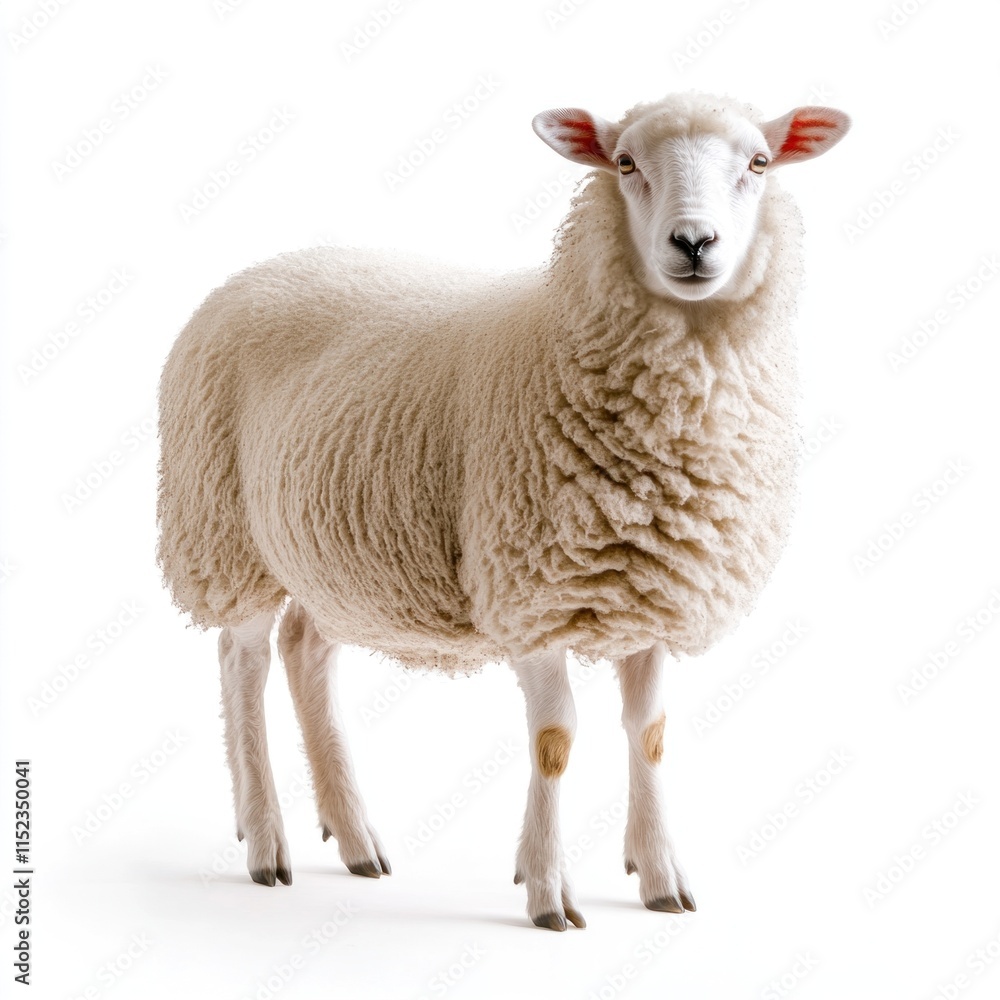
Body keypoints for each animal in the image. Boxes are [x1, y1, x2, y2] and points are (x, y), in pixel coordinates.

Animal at [157, 91, 850, 930]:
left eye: (759, 162)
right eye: (625, 163)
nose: (693, 243)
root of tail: (256, 271)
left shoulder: (653, 591)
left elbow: (649, 734)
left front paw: (659, 878)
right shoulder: (531, 594)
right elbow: (555, 740)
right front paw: (549, 892)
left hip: (339, 555)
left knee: (305, 652)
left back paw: (354, 837)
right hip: (225, 534)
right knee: (244, 662)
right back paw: (265, 843)